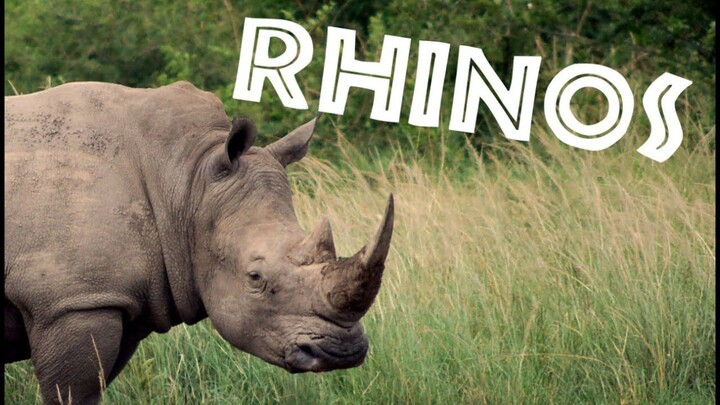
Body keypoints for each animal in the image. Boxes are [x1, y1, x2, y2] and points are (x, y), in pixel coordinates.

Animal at [4, 81, 394, 404]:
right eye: (255, 277)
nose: (341, 352)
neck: (187, 179)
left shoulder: (114, 300)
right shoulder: (73, 302)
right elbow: (73, 394)